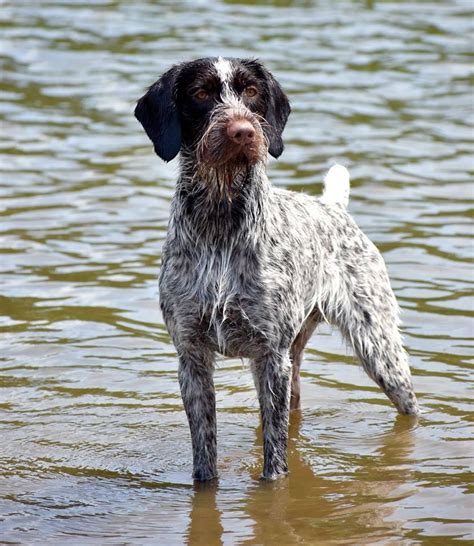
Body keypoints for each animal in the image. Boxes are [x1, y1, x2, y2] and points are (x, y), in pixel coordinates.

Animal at [133, 57, 418, 478]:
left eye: (251, 92)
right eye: (200, 93)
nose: (242, 130)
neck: (220, 221)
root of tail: (333, 207)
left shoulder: (270, 356)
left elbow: (275, 461)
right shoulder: (192, 357)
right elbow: (205, 459)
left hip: (378, 350)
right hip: (293, 355)